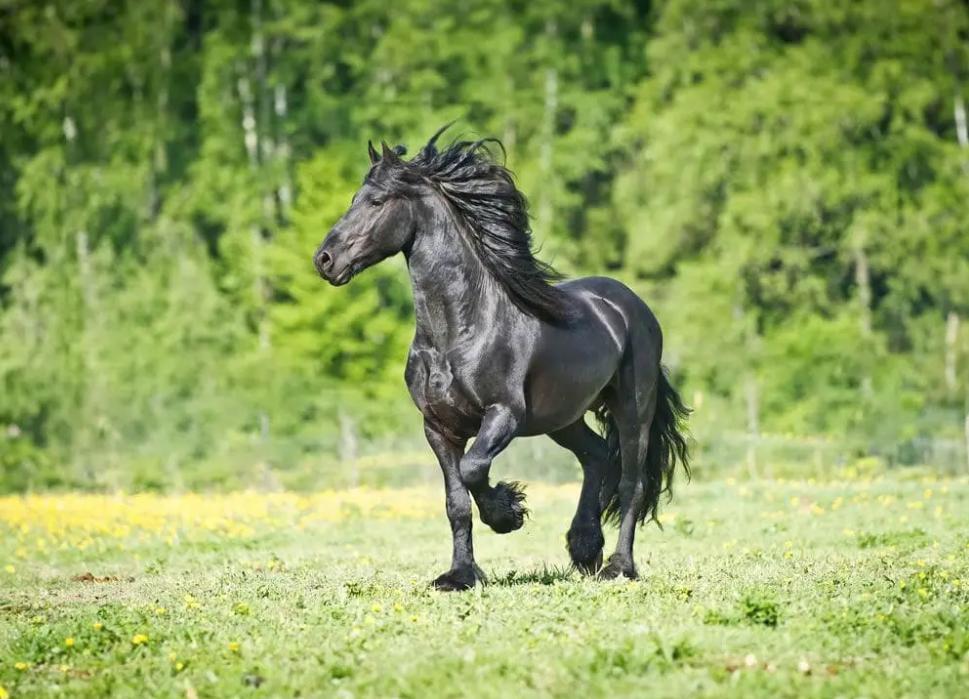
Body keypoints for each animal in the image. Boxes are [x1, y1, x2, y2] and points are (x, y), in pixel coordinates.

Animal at [314, 125, 691, 591]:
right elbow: (456, 502)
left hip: (632, 408)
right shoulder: (437, 427)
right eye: (355, 198)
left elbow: (474, 469)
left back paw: (618, 566)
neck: (459, 332)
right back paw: (584, 547)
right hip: (563, 417)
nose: (324, 260)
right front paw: (459, 575)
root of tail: (632, 306)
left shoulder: (504, 415)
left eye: (377, 202)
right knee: (596, 455)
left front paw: (508, 514)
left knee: (630, 483)